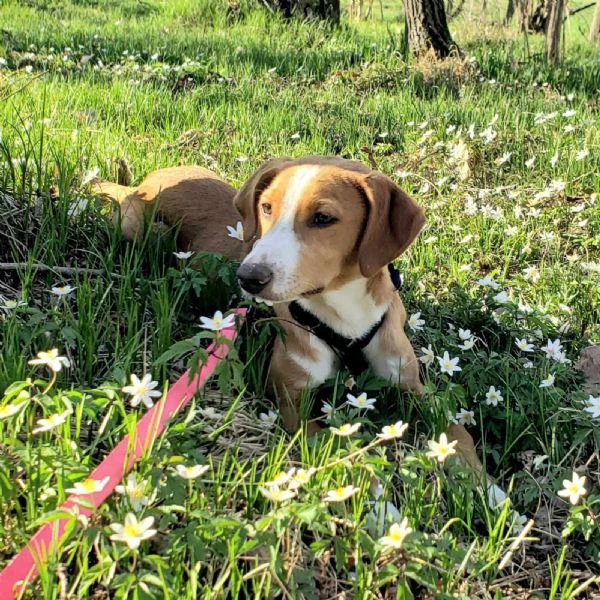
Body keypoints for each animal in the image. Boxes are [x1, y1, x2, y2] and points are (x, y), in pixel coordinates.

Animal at [96, 157, 486, 472]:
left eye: (323, 218)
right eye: (266, 207)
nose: (248, 277)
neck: (345, 318)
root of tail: (142, 184)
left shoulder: (410, 383)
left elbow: (457, 431)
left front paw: (482, 486)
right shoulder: (292, 399)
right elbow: (337, 450)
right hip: (139, 226)